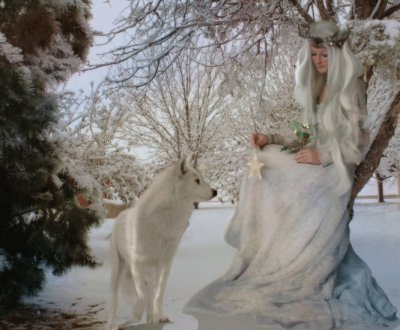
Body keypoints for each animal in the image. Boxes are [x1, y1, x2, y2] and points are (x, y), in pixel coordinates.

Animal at [107, 159, 216, 328]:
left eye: (201, 179)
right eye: (197, 180)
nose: (215, 191)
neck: (165, 218)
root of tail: (120, 216)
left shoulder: (165, 263)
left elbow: (158, 293)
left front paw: (159, 316)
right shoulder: (136, 263)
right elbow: (143, 294)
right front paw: (136, 313)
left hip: (151, 271)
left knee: (151, 290)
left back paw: (151, 317)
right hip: (118, 269)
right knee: (114, 297)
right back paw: (113, 324)